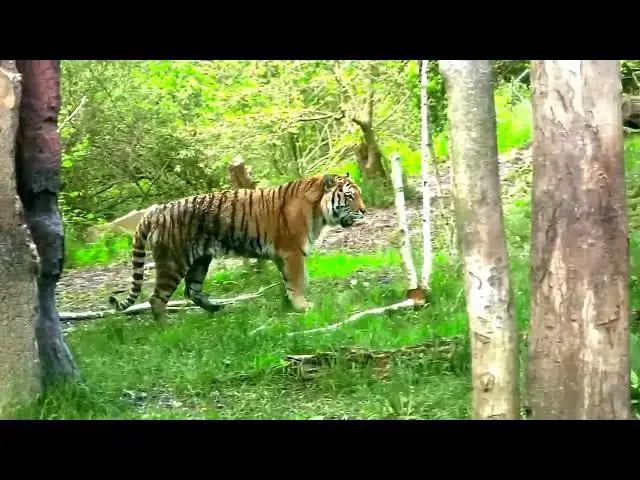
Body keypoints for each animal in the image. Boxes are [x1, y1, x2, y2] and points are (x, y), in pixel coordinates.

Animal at [108, 172, 366, 323]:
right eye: (350, 196)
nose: (364, 210)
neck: (318, 212)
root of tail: (155, 211)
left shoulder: (281, 256)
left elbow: (289, 281)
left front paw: (288, 304)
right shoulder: (293, 253)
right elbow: (298, 280)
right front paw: (303, 307)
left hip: (200, 260)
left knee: (191, 291)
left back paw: (217, 310)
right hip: (173, 262)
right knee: (157, 298)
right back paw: (166, 327)